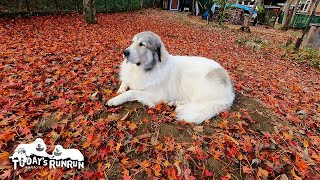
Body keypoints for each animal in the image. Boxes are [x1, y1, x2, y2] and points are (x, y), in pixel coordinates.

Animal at [107, 31, 235, 124]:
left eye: (142, 44)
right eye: (132, 42)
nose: (124, 52)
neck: (144, 69)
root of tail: (229, 89)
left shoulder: (155, 95)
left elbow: (131, 92)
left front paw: (115, 100)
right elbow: (125, 83)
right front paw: (119, 92)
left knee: (197, 103)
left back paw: (180, 107)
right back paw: (175, 103)